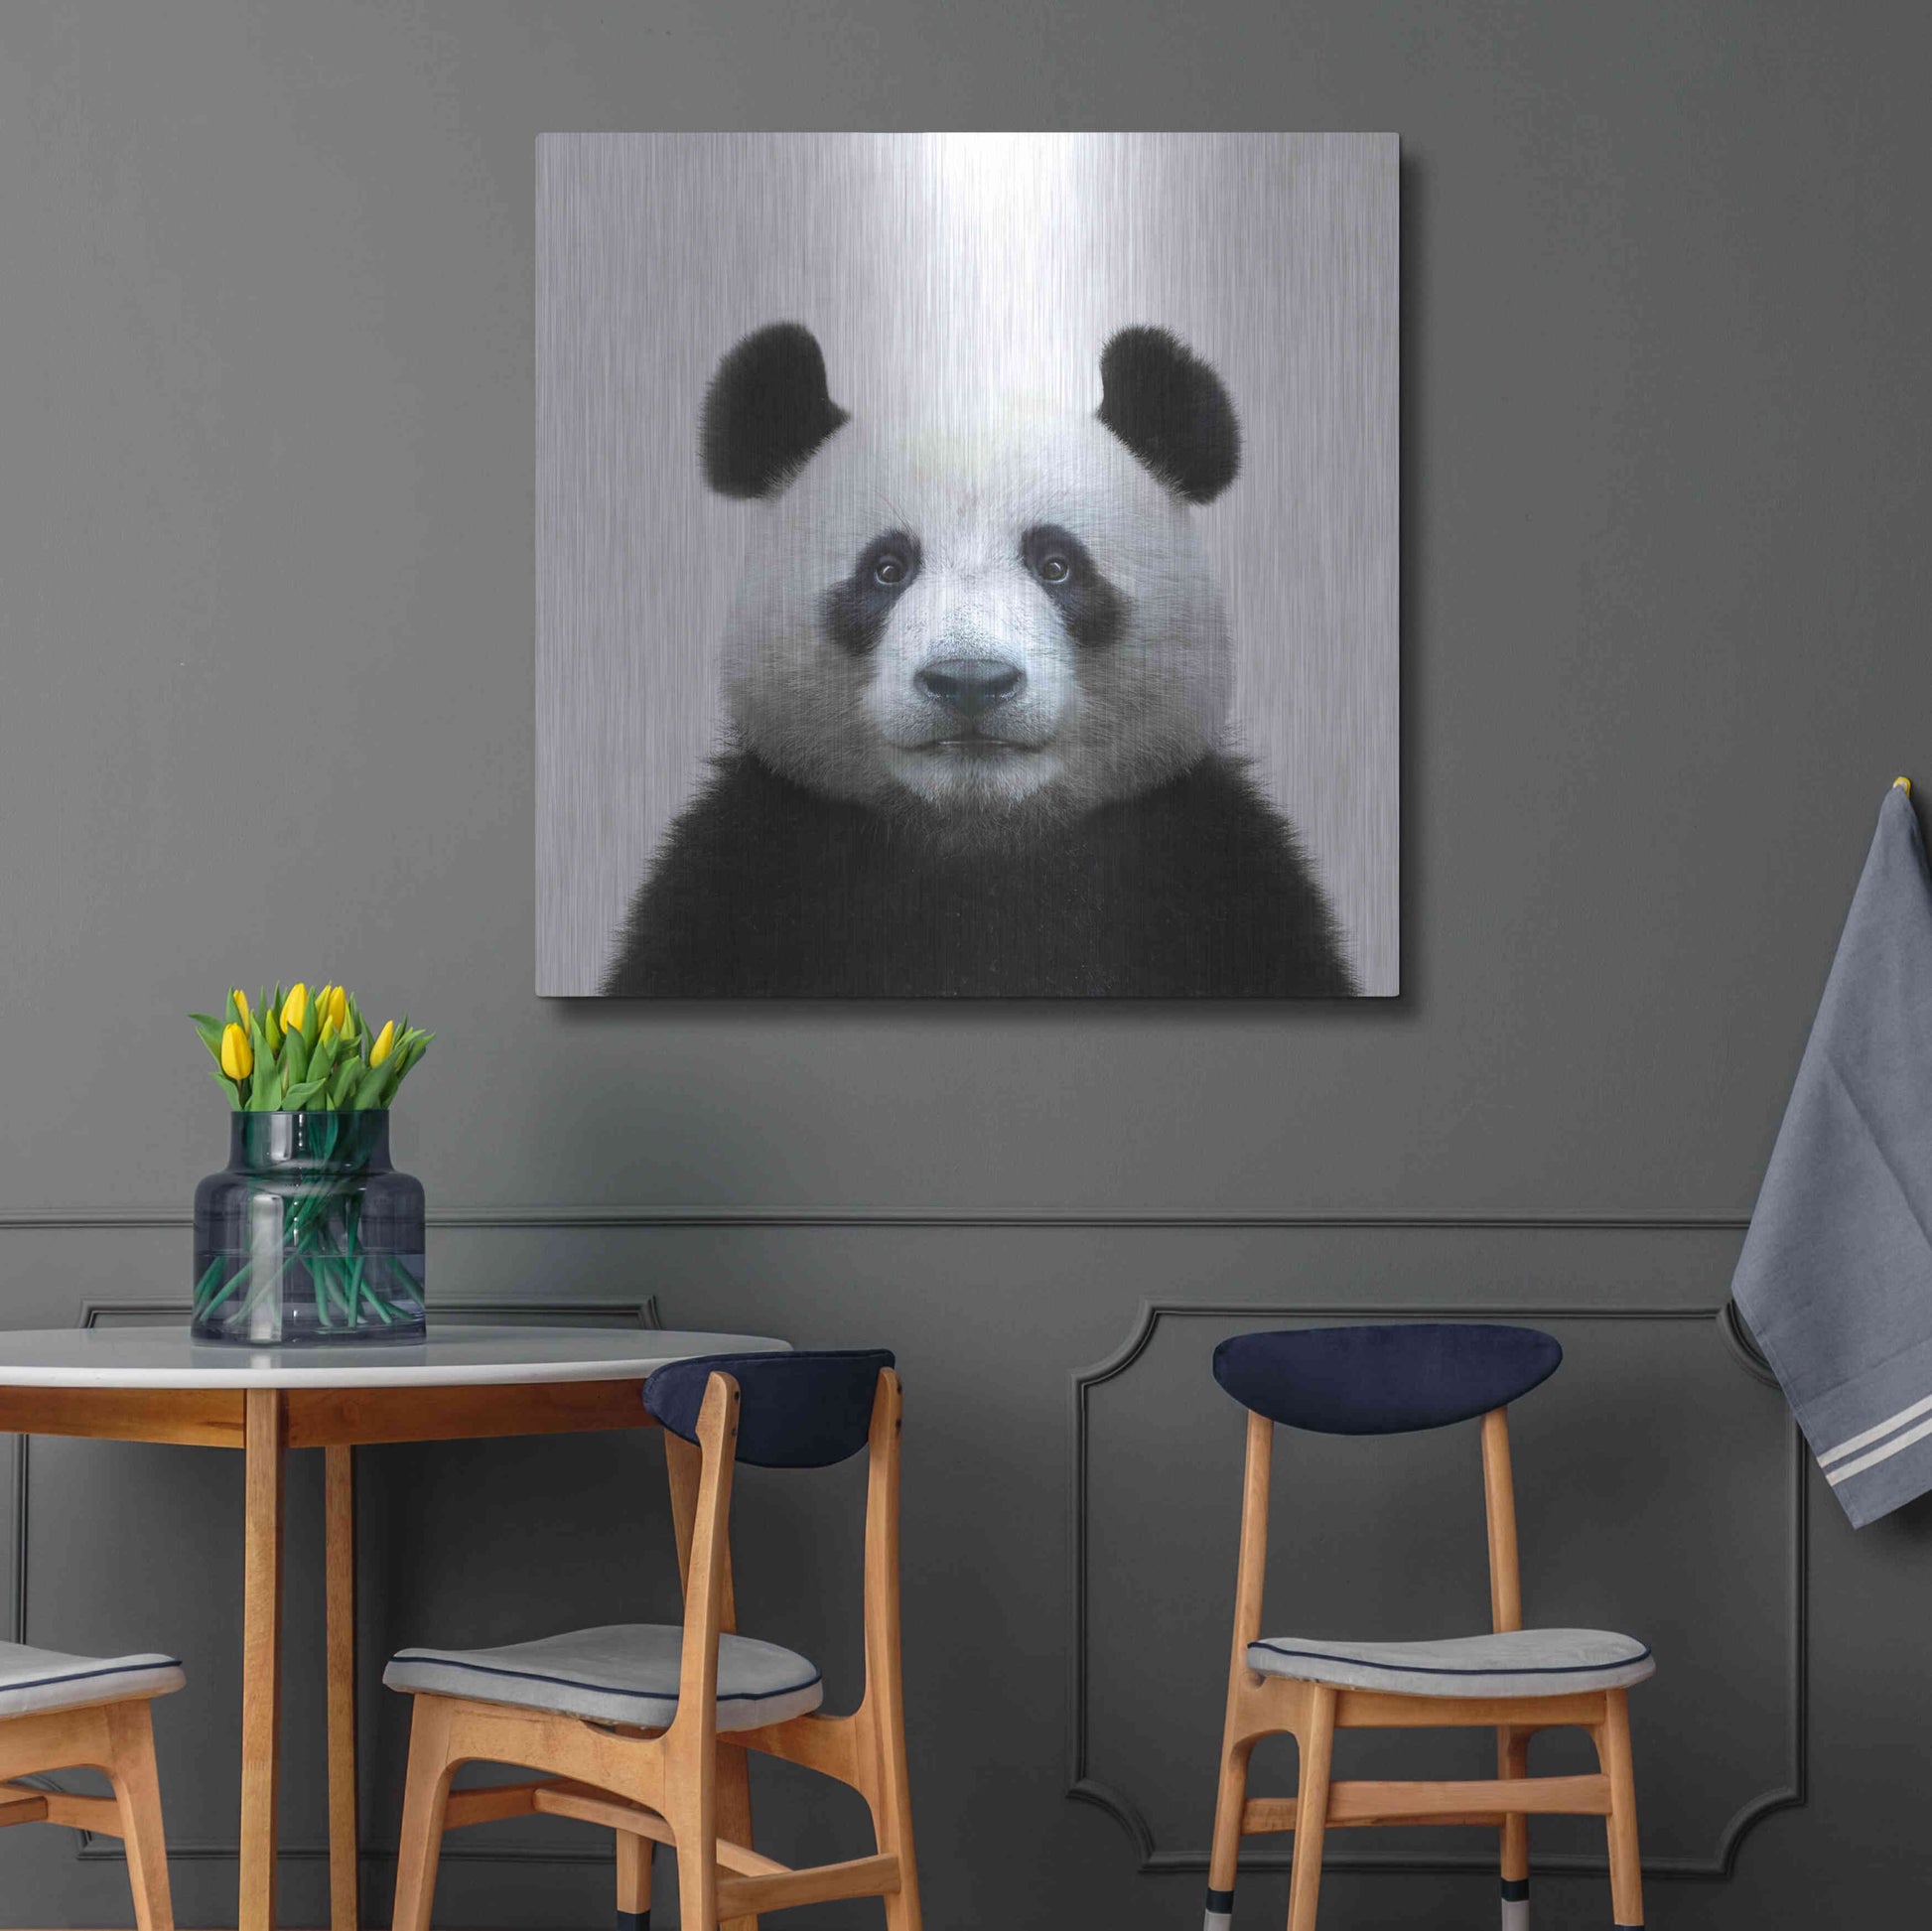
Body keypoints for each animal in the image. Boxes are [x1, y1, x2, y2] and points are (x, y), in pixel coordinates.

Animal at [602, 322, 1356, 998]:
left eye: (1057, 565)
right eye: (887, 568)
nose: (970, 682)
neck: (978, 841)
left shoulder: (1215, 874)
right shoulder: (745, 874)